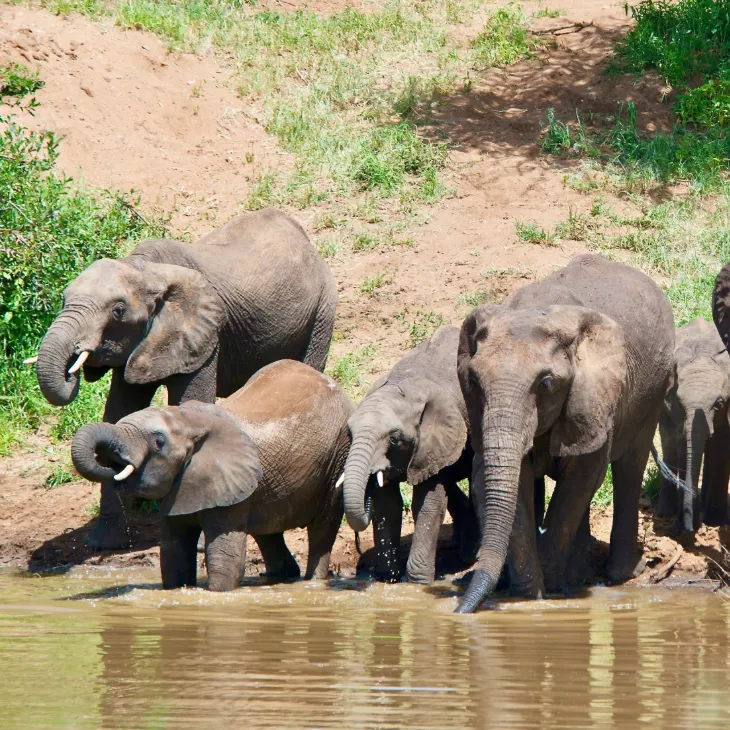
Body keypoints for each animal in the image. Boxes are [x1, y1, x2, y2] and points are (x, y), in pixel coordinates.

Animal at [33, 208, 336, 549]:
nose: (73, 363)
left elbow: (190, 401)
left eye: (118, 311)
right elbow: (119, 412)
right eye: (62, 301)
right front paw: (102, 543)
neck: (144, 270)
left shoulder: (203, 335)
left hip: (322, 310)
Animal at [70, 360, 354, 590]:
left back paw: (312, 582)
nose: (114, 462)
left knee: (322, 529)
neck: (187, 420)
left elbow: (224, 560)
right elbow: (173, 554)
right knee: (269, 533)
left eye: (158, 443)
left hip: (337, 457)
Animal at [343, 325, 479, 584]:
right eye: (349, 434)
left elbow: (427, 503)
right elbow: (387, 506)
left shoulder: (434, 442)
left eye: (394, 439)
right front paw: (388, 579)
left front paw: (418, 583)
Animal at [456, 253, 675, 613]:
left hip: (655, 391)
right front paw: (529, 596)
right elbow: (509, 481)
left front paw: (552, 592)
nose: (459, 613)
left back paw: (617, 574)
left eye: (546, 383)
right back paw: (579, 572)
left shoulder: (595, 395)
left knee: (629, 466)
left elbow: (582, 476)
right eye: (473, 381)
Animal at [656, 317, 730, 532]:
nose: (690, 528)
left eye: (719, 404)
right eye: (681, 403)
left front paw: (715, 522)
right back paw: (665, 513)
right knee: (668, 441)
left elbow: (721, 445)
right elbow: (682, 446)